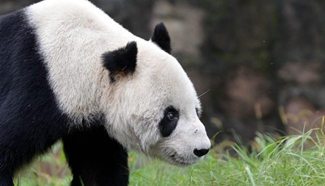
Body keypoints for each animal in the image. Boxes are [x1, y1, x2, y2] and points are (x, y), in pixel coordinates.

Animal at [0, 0, 210, 185]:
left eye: (196, 110)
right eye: (171, 115)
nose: (202, 149)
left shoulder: (92, 125)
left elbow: (99, 164)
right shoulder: (38, 86)